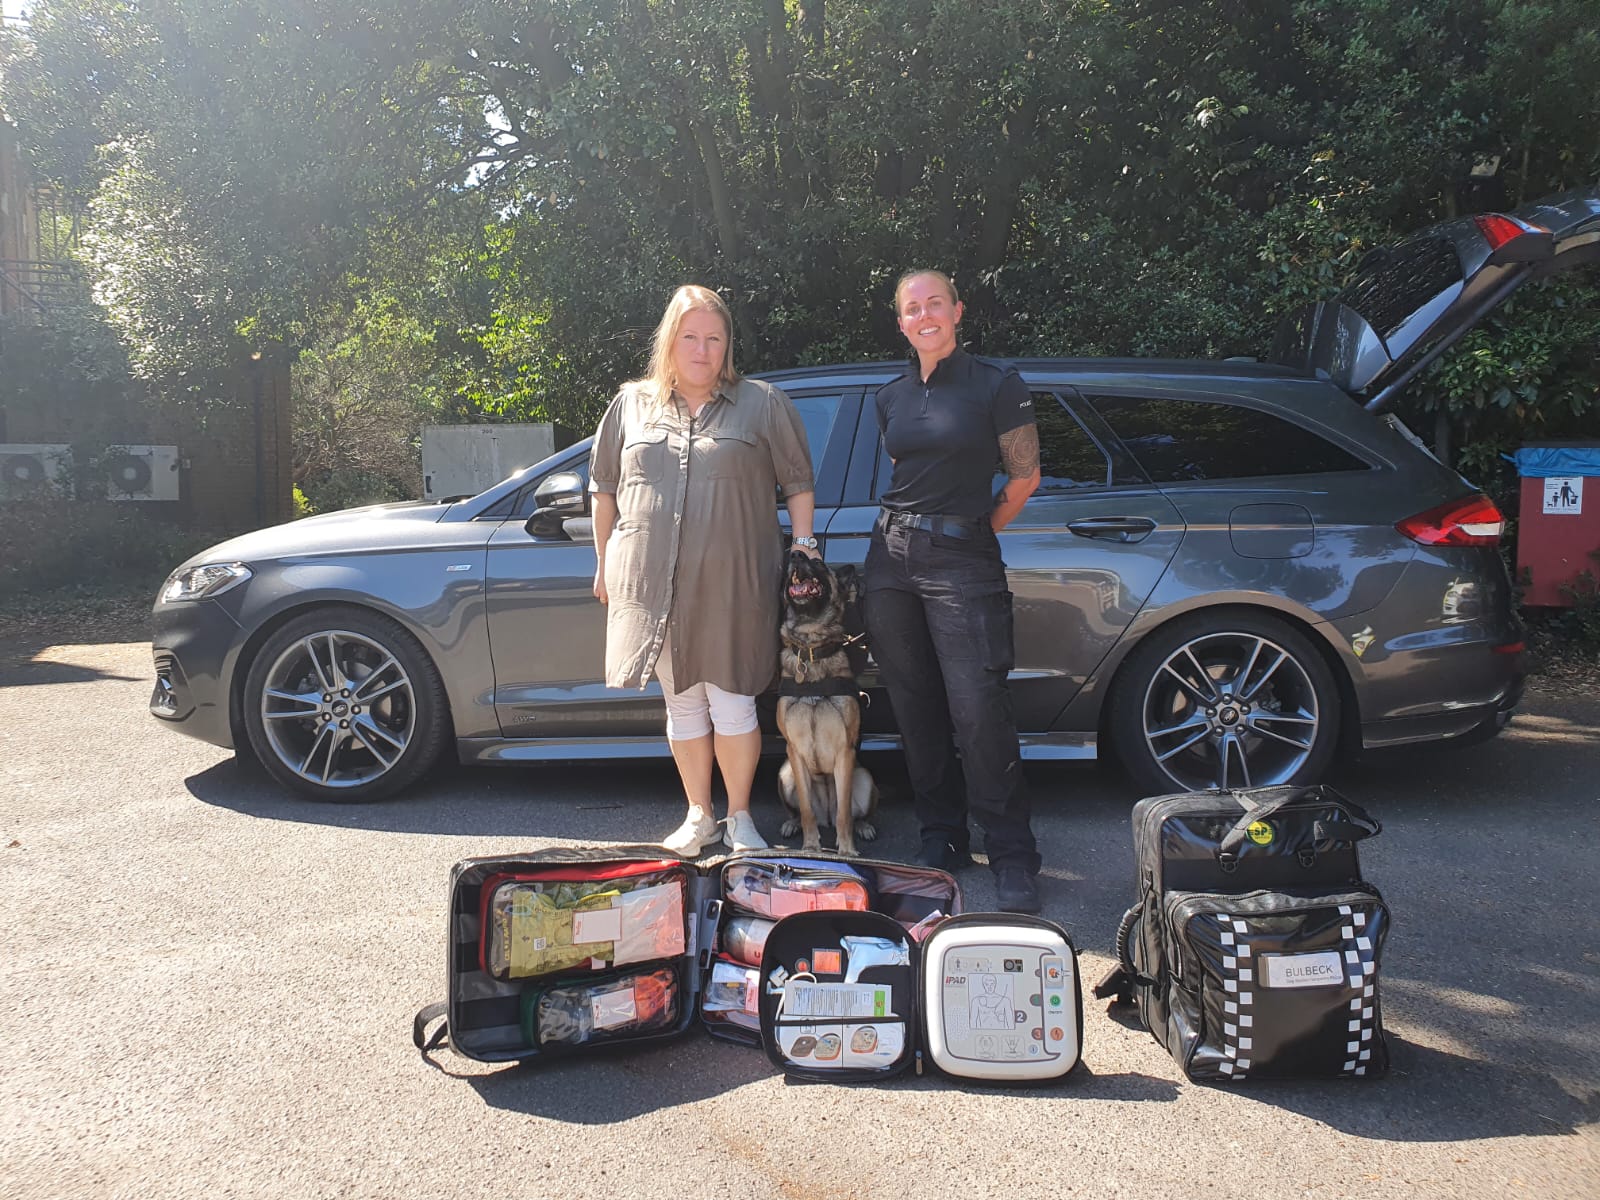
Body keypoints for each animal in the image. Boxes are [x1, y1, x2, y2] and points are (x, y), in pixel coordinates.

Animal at [771, 553, 876, 857]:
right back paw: (792, 824)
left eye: (818, 564)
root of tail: (825, 815)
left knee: (851, 813)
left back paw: (863, 827)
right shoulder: (794, 752)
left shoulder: (844, 752)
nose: (794, 554)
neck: (810, 647)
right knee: (801, 812)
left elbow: (844, 814)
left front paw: (847, 851)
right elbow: (807, 811)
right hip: (785, 775)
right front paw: (810, 847)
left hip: (865, 780)